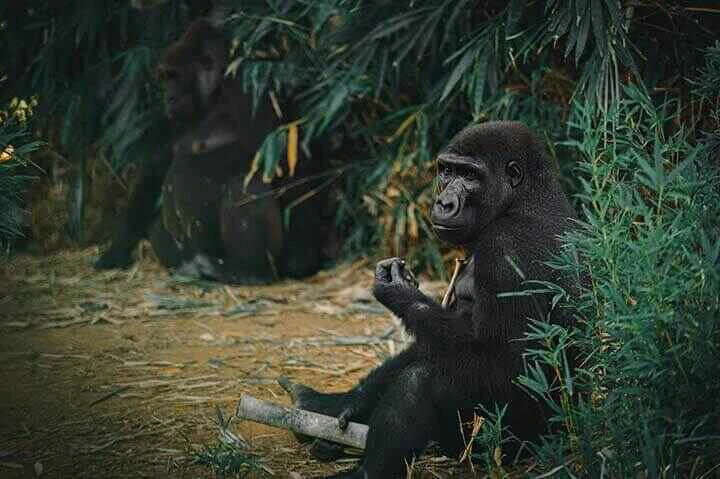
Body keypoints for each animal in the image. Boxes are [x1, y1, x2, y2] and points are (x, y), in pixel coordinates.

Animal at [94, 19, 324, 284]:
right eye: (164, 78)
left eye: (175, 76)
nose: (167, 97)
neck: (216, 94)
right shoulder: (170, 119)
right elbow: (151, 175)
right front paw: (116, 251)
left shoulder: (253, 92)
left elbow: (286, 167)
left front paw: (302, 259)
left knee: (243, 186)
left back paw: (249, 271)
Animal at [282, 122, 580, 478]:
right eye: (447, 171)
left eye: (470, 175)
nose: (443, 202)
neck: (523, 201)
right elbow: (427, 344)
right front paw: (350, 402)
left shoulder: (505, 252)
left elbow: (508, 369)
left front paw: (399, 292)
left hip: (512, 445)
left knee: (422, 381)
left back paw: (367, 472)